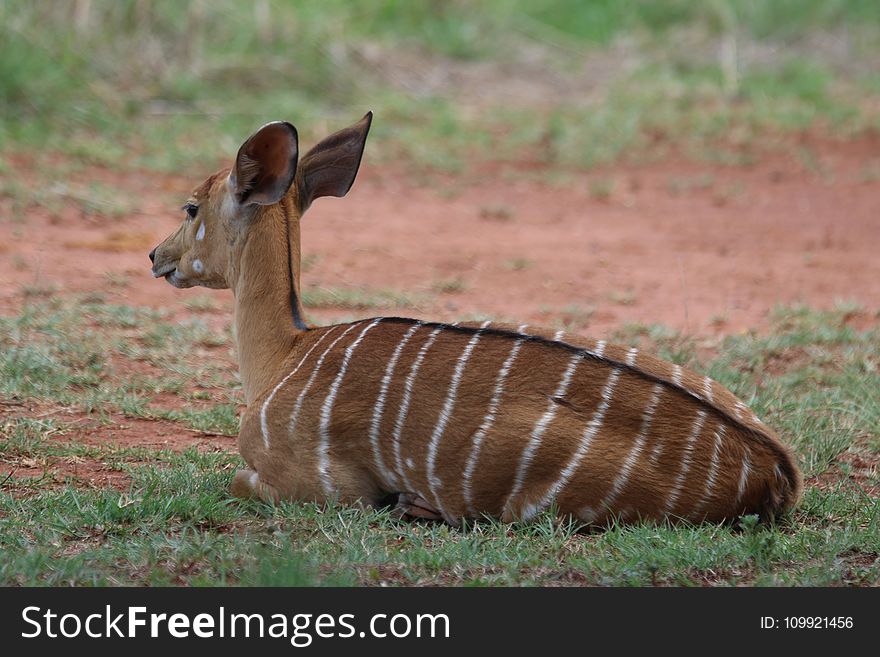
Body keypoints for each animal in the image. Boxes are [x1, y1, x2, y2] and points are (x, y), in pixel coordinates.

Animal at [151, 111, 804, 524]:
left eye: (190, 207)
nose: (156, 256)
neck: (286, 352)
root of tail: (776, 470)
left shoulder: (324, 487)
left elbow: (236, 481)